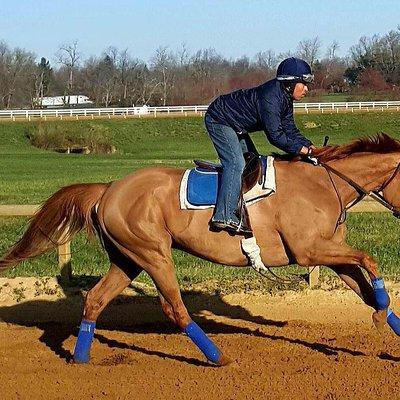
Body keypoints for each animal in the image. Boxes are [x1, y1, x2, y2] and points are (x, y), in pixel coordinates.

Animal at [0, 133, 400, 364]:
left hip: (127, 259)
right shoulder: (312, 250)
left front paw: (384, 318)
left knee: (96, 299)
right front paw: (381, 314)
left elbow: (365, 287)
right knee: (174, 307)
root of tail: (109, 187)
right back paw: (217, 356)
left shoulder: (330, 251)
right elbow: (370, 261)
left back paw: (80, 359)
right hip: (153, 254)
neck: (325, 182)